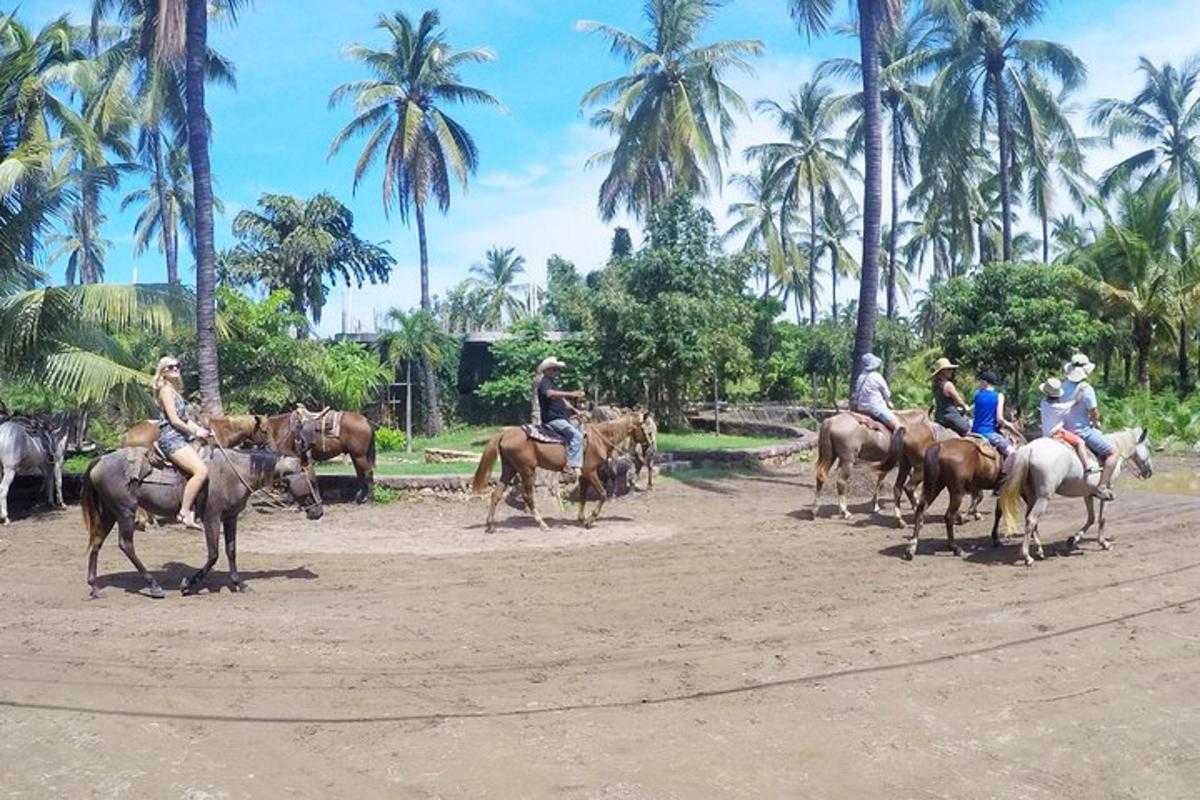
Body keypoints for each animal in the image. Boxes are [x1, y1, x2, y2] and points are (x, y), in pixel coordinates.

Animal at [470, 412, 657, 532]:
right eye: (647, 431)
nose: (650, 450)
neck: (599, 439)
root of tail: (504, 434)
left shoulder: (584, 475)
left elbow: (582, 497)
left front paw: (581, 519)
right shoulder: (590, 472)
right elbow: (603, 494)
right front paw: (590, 520)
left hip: (509, 469)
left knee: (496, 494)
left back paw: (490, 525)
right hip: (527, 471)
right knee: (528, 496)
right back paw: (543, 525)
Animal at [993, 429, 1152, 566]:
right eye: (1149, 446)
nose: (1149, 471)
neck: (1115, 446)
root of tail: (1029, 449)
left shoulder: (1087, 493)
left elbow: (1091, 518)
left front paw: (1072, 539)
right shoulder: (1108, 490)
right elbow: (1102, 518)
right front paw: (1104, 543)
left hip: (1032, 495)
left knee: (1031, 520)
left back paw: (1039, 551)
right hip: (1044, 497)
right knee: (1031, 519)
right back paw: (1027, 557)